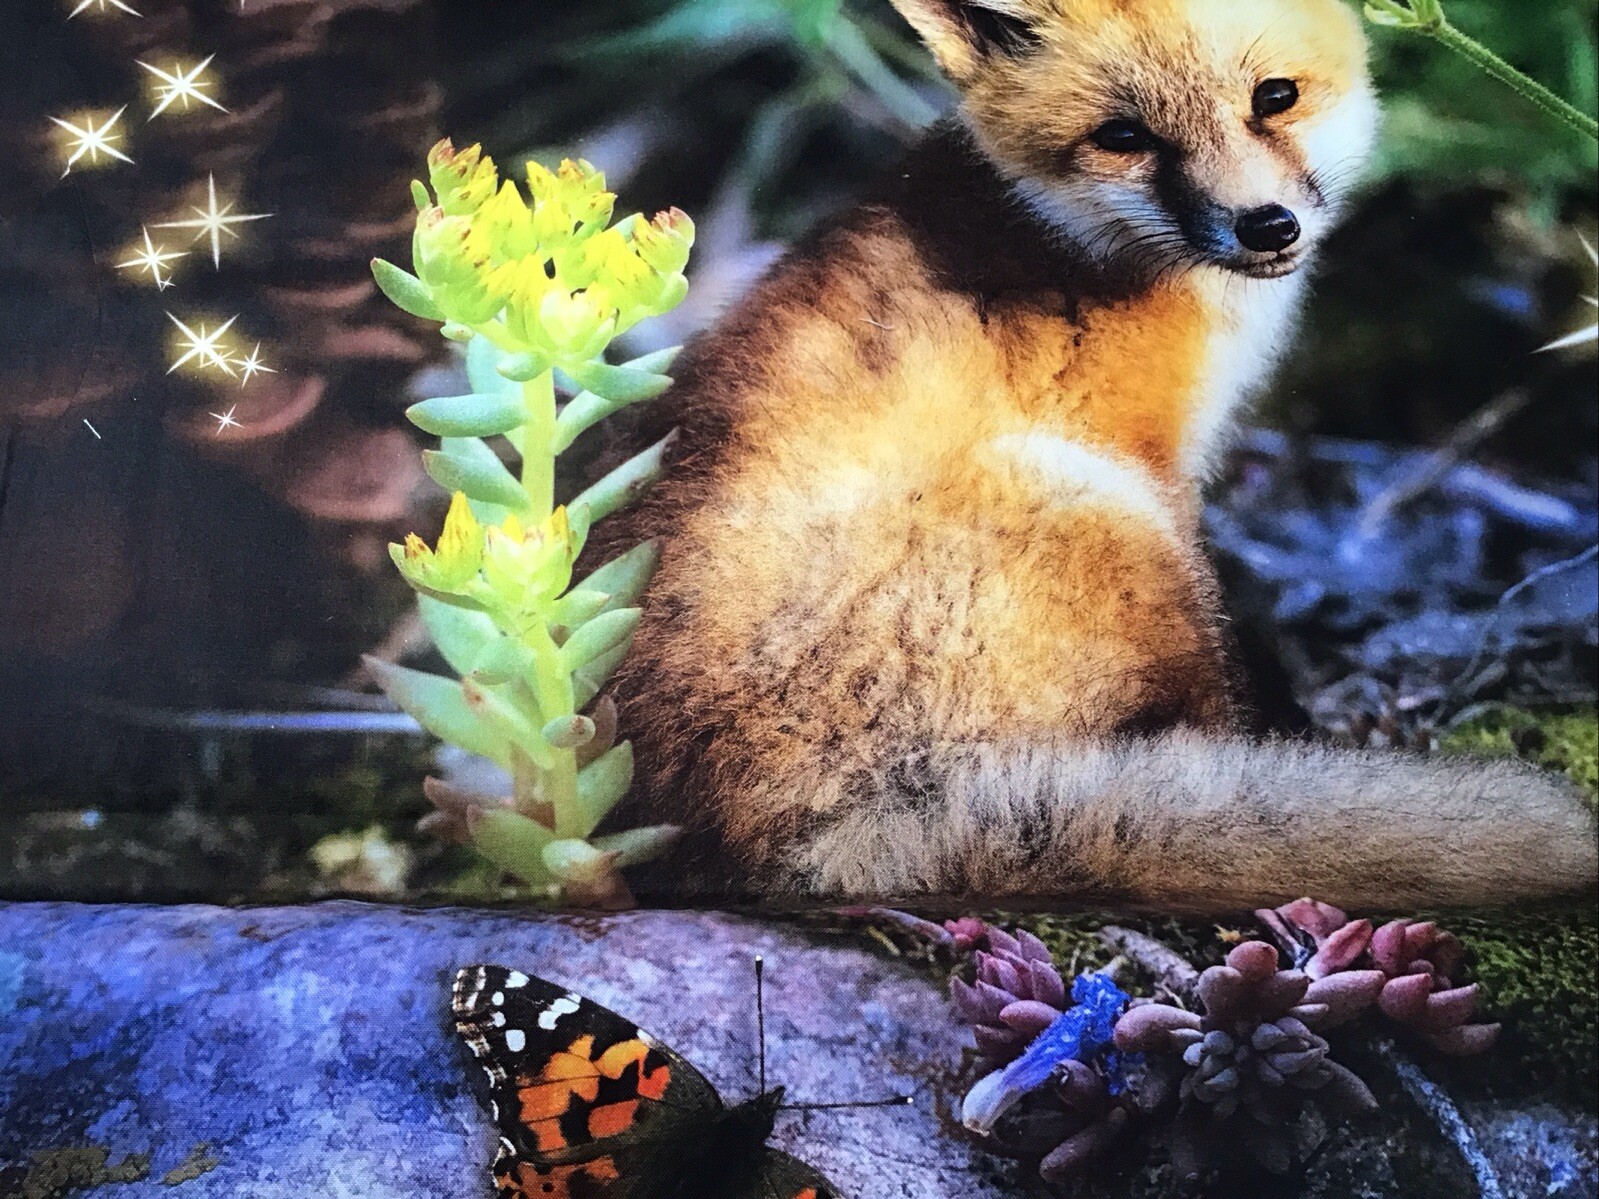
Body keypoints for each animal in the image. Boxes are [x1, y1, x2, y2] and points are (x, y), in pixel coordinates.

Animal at [596, 0, 1598, 911]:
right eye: (1124, 138)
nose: (1267, 226)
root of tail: (793, 852)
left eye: (1273, 97)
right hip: (1100, 509)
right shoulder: (1156, 467)